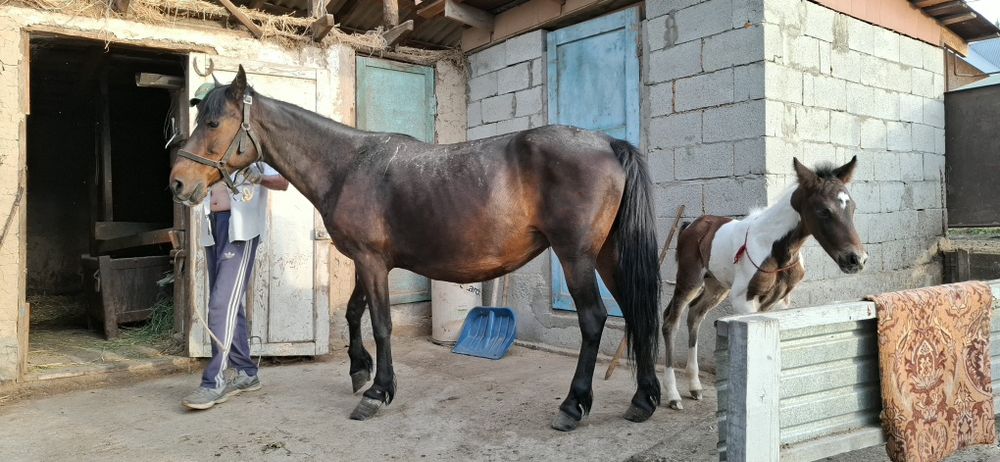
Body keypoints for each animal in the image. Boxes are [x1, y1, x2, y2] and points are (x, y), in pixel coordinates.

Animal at [168, 66, 662, 431]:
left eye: (213, 123)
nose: (178, 183)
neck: (348, 166)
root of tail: (608, 143)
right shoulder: (368, 261)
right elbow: (354, 313)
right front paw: (359, 370)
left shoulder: (371, 262)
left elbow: (382, 324)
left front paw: (377, 392)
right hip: (607, 255)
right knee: (637, 310)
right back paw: (644, 399)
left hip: (576, 255)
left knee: (594, 320)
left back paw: (573, 406)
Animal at [661, 157, 867, 410]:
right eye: (824, 210)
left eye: (852, 207)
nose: (856, 259)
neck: (778, 248)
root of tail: (690, 225)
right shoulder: (744, 300)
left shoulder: (777, 302)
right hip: (690, 280)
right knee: (671, 321)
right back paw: (673, 396)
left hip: (716, 286)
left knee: (695, 316)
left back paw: (695, 387)